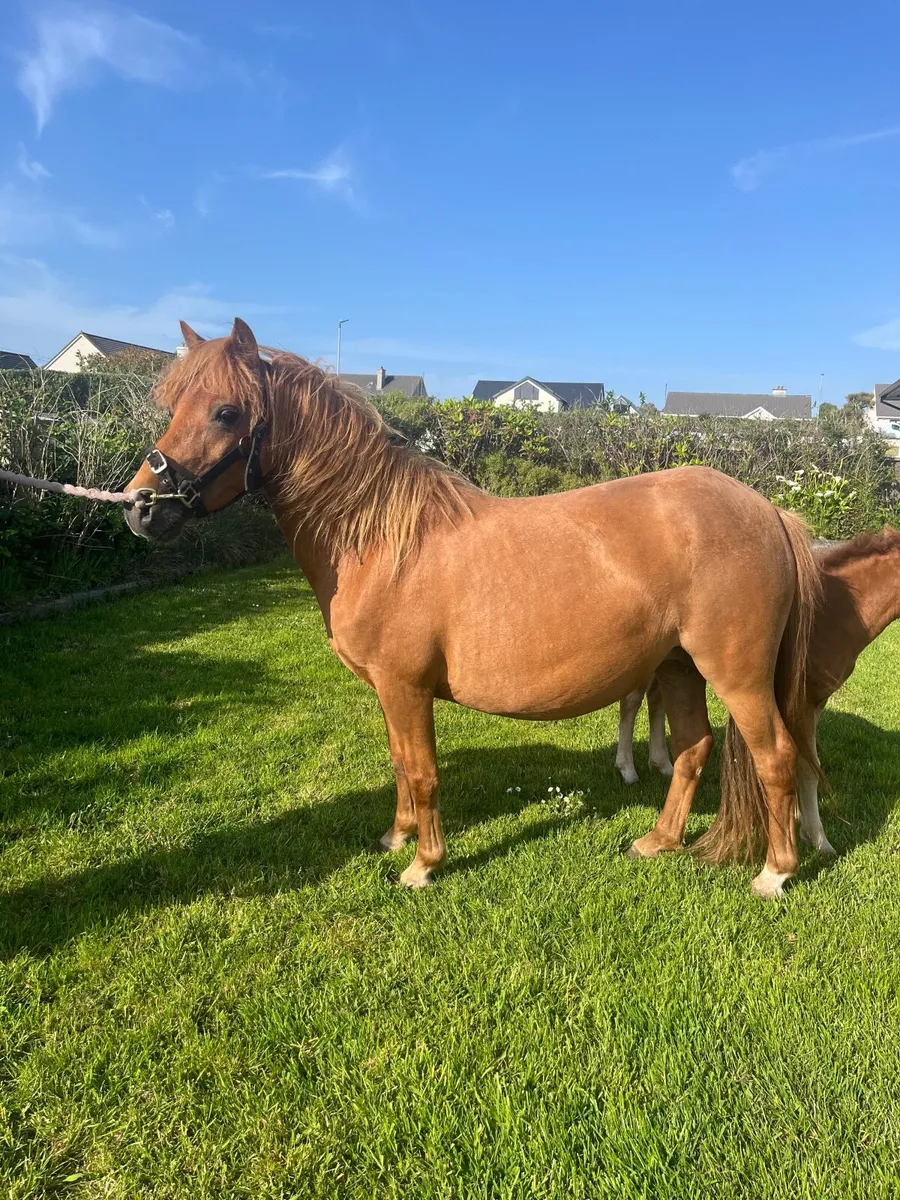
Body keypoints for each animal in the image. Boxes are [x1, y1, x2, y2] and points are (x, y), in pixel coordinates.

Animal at [124, 318, 822, 898]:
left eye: (225, 411)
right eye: (174, 405)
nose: (140, 507)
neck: (382, 538)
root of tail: (769, 512)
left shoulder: (405, 687)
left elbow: (423, 772)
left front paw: (422, 865)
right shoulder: (390, 692)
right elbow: (400, 765)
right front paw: (397, 837)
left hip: (737, 677)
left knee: (776, 758)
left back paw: (775, 873)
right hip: (678, 666)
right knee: (694, 750)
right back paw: (658, 841)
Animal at [615, 529, 900, 857]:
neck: (834, 610)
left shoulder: (814, 702)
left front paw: (799, 821)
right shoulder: (804, 703)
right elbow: (807, 767)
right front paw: (817, 839)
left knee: (655, 701)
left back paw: (661, 763)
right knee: (631, 702)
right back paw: (627, 769)